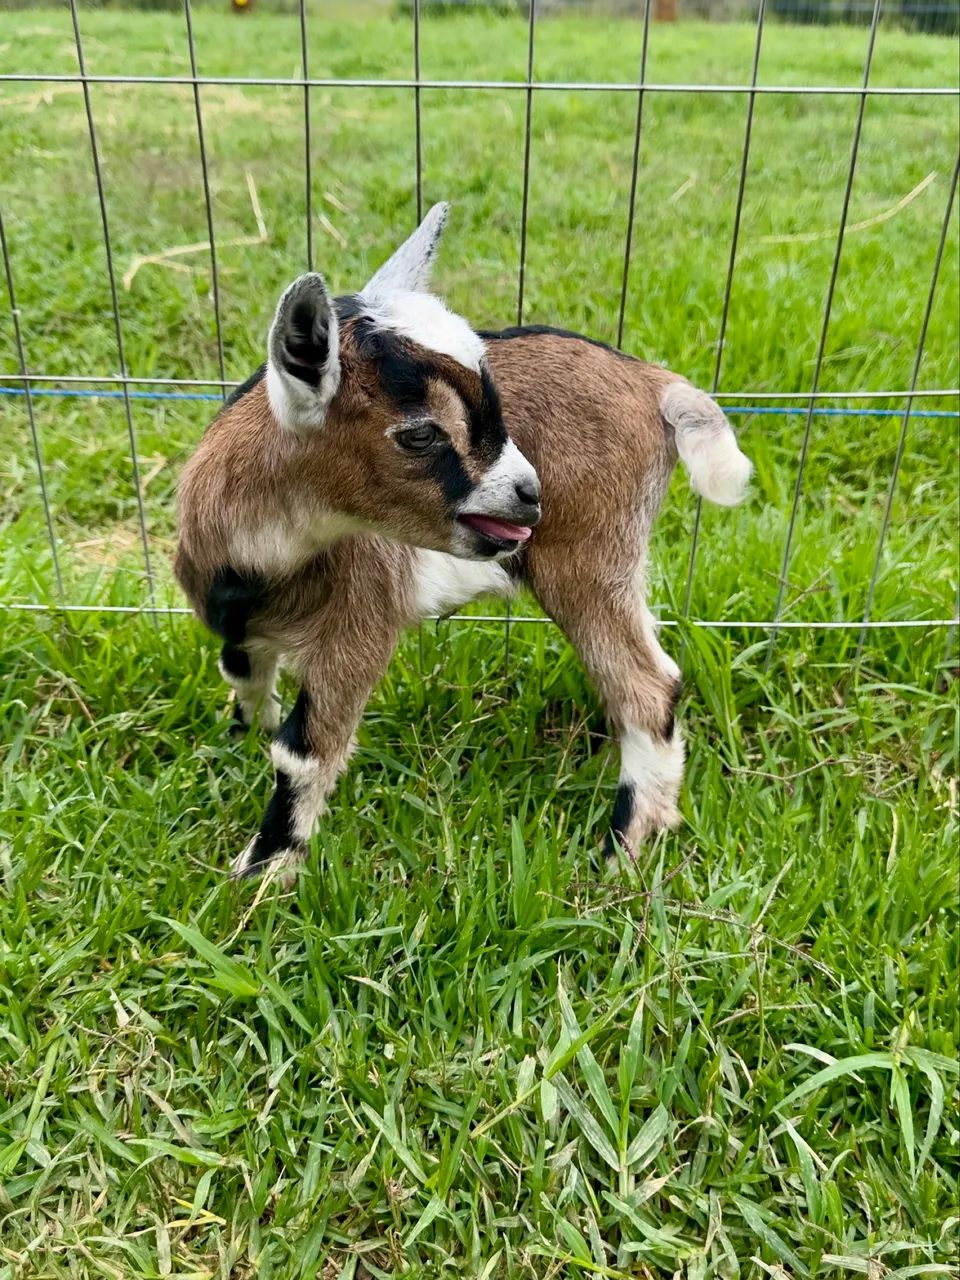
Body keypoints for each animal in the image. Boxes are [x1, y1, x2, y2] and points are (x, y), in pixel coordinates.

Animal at [174, 203, 752, 879]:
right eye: (420, 434)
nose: (530, 492)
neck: (263, 564)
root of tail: (654, 383)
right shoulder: (237, 616)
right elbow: (241, 669)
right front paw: (238, 741)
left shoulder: (359, 623)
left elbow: (304, 752)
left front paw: (260, 875)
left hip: (589, 556)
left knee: (650, 686)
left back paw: (622, 853)